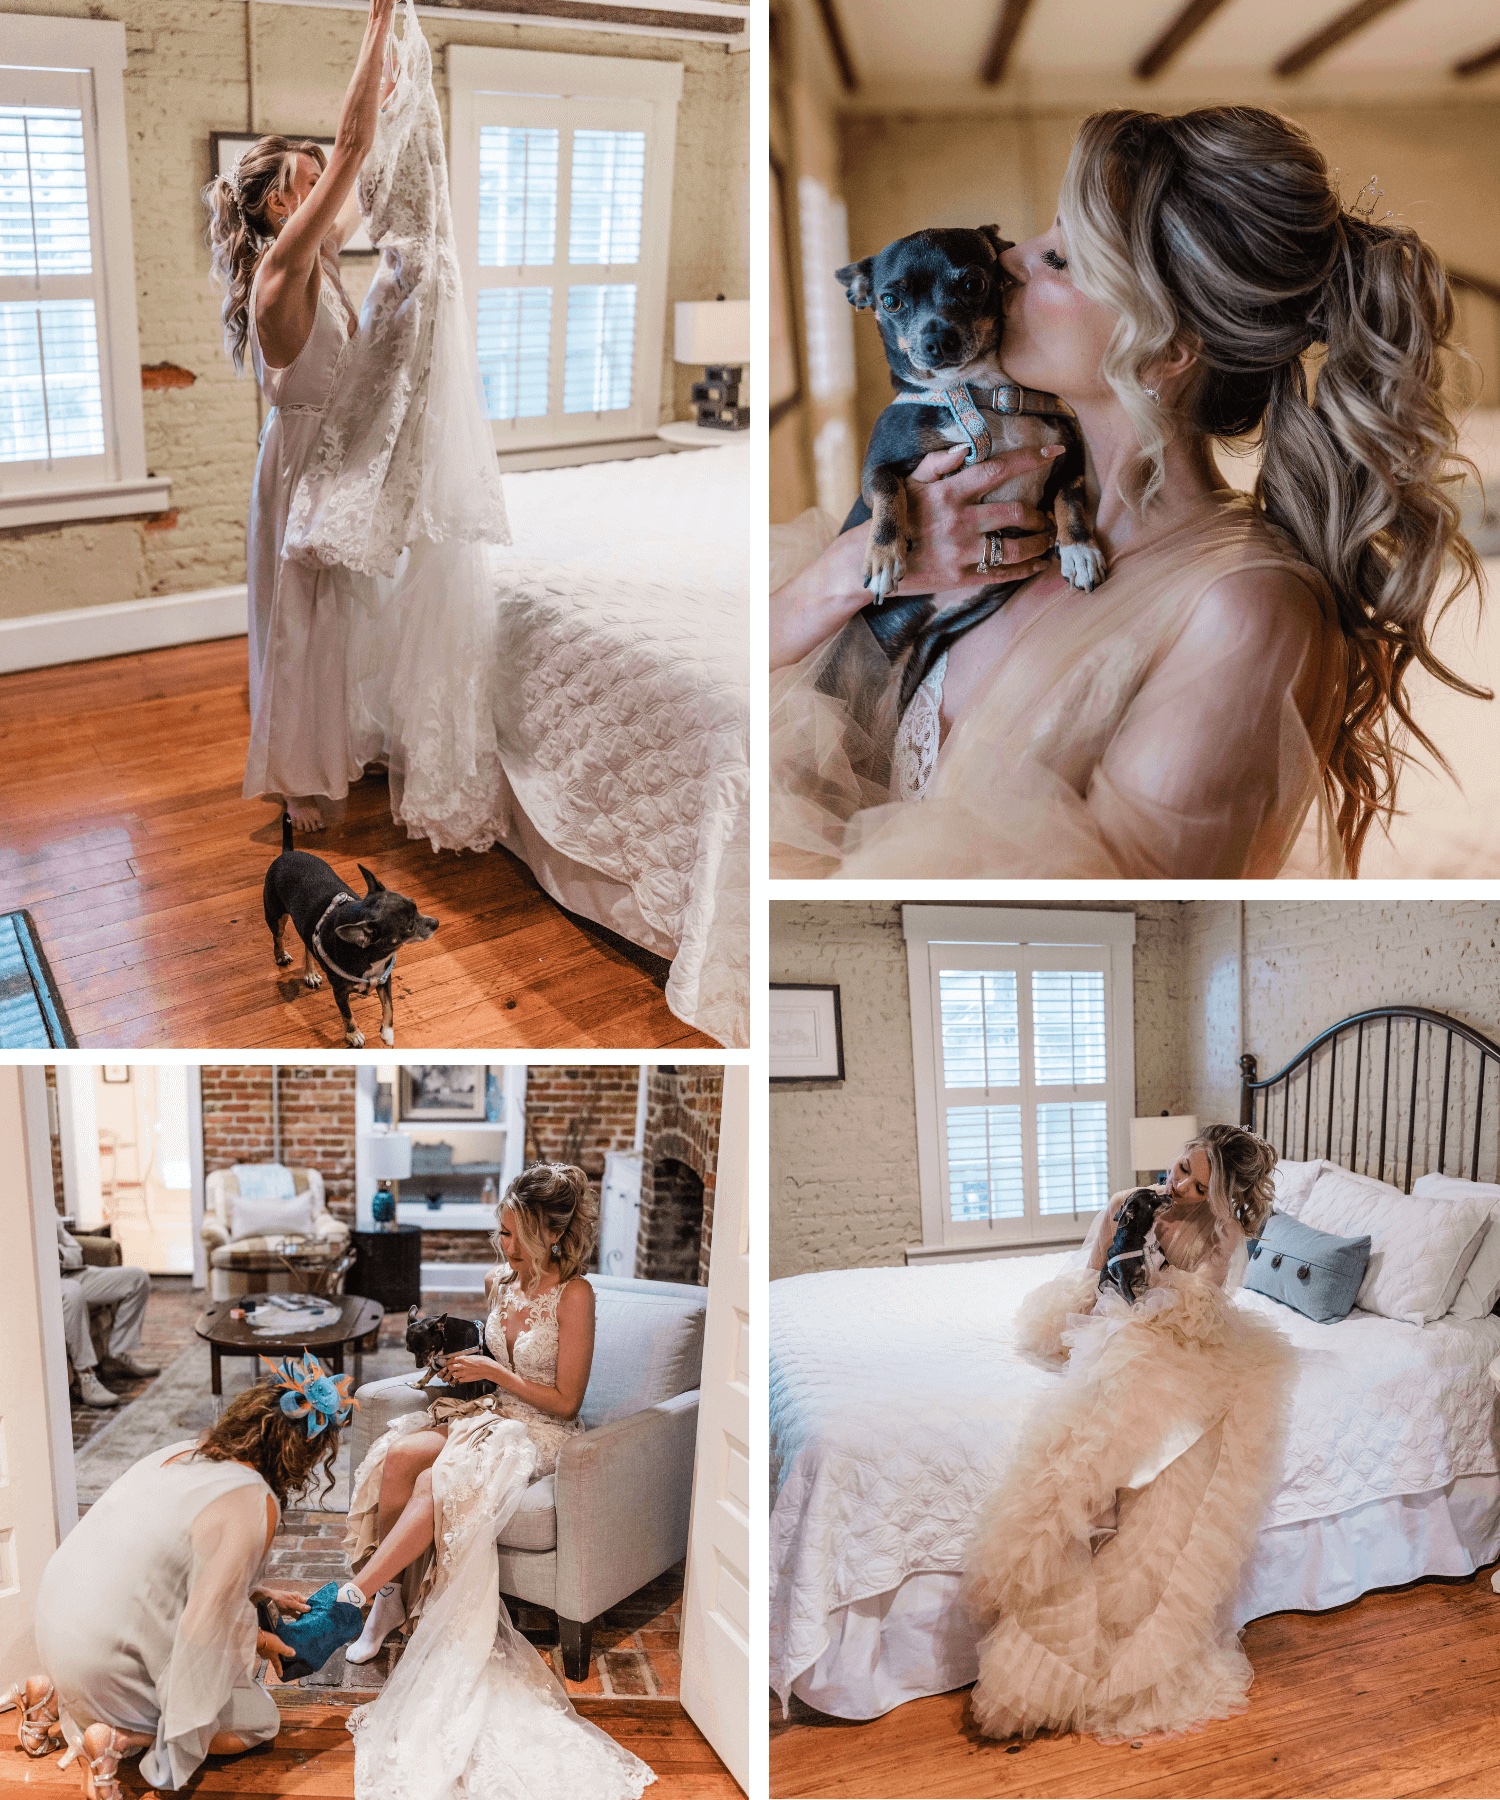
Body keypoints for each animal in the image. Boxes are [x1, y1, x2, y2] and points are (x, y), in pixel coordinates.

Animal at [261, 813, 435, 1051]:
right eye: (409, 926)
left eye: (415, 905)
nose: (436, 922)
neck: (372, 954)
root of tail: (287, 852)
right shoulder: (340, 992)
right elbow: (347, 1015)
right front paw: (354, 1035)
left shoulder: (384, 981)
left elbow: (389, 1007)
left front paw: (387, 1033)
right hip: (275, 915)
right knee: (277, 937)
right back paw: (280, 956)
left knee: (307, 944)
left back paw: (310, 973)